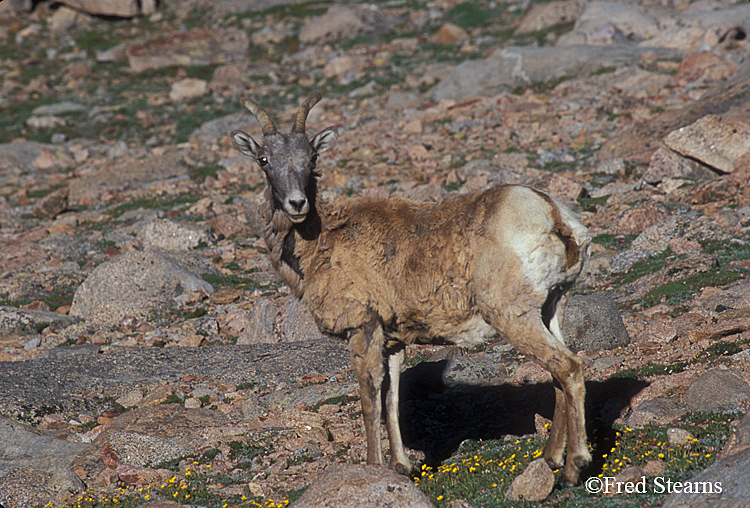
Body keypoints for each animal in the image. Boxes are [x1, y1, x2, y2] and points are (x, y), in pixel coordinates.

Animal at [229, 93, 592, 486]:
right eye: (264, 159)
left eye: (312, 158)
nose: (297, 203)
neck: (320, 244)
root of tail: (554, 217)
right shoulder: (393, 341)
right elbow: (392, 397)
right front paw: (401, 466)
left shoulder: (363, 328)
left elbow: (370, 396)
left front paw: (373, 466)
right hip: (552, 308)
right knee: (558, 374)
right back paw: (551, 458)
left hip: (513, 315)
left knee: (569, 368)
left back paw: (574, 467)